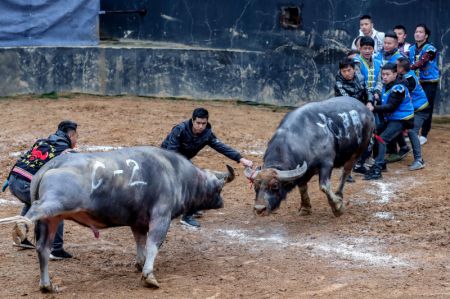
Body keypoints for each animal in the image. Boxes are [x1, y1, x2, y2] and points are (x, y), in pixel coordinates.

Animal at [244, 98, 374, 218]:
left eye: (275, 185)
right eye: (255, 185)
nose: (259, 209)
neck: (306, 137)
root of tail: (367, 111)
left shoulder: (326, 163)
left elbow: (324, 186)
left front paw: (338, 208)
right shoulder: (304, 172)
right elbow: (302, 187)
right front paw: (305, 208)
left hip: (357, 152)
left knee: (345, 173)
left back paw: (339, 195)